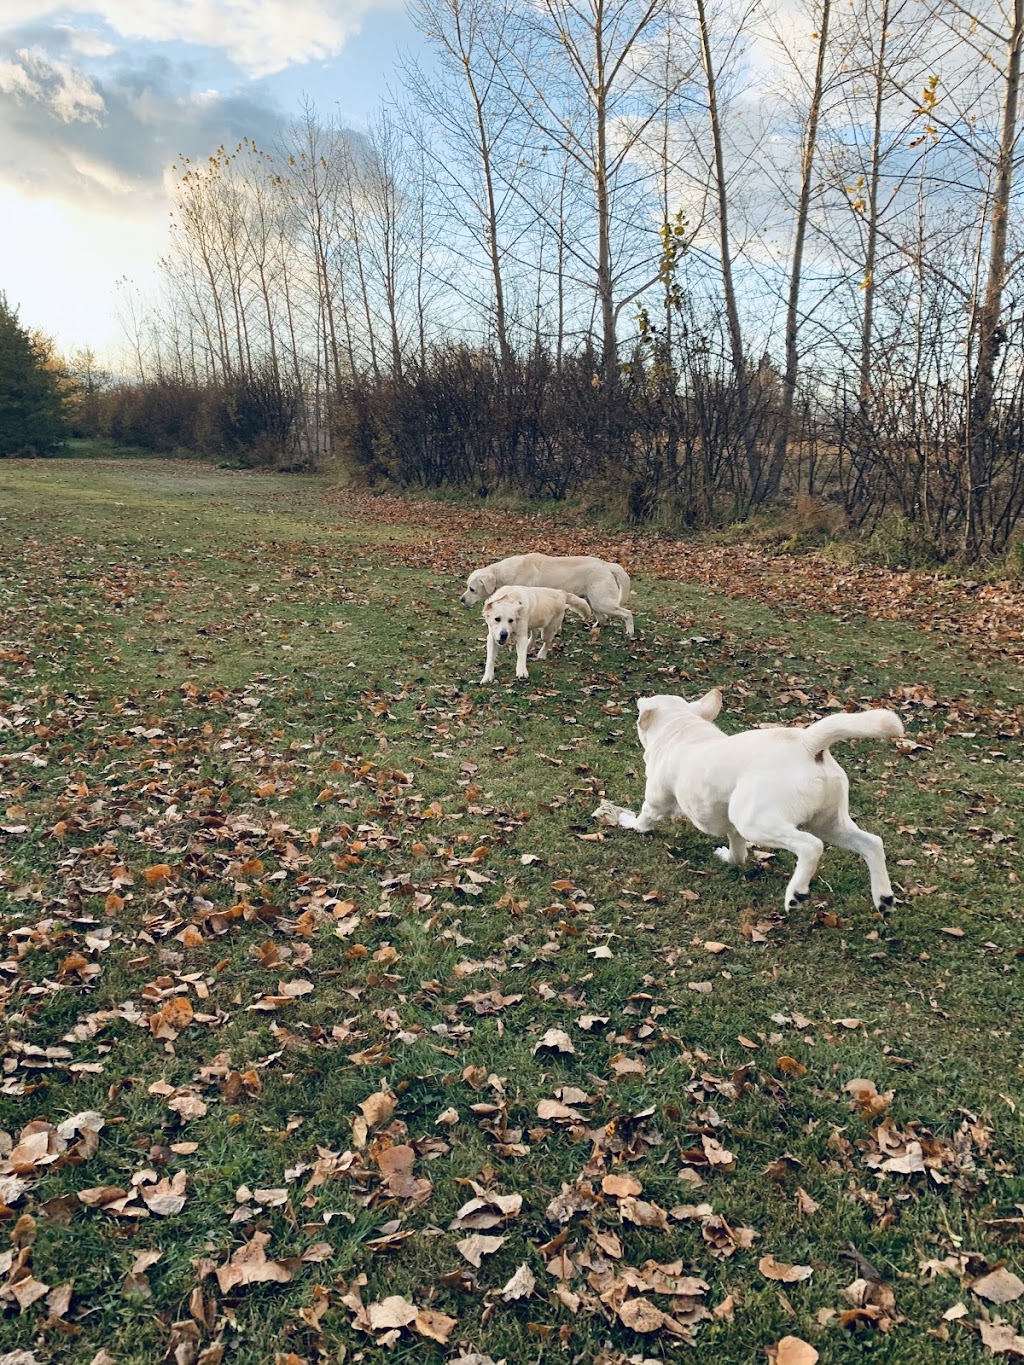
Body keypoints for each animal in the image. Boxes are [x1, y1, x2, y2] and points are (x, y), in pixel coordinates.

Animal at [458, 551, 633, 636]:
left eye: (472, 589)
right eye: (467, 587)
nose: (461, 600)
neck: (507, 573)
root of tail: (606, 564)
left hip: (602, 602)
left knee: (627, 613)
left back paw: (630, 632)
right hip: (594, 602)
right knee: (603, 619)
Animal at [600, 693, 906, 917]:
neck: (682, 729)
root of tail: (808, 744)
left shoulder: (656, 801)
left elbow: (644, 819)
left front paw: (625, 821)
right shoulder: (733, 829)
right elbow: (738, 853)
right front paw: (727, 857)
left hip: (758, 822)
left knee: (810, 846)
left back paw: (796, 893)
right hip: (829, 824)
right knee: (872, 843)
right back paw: (884, 898)